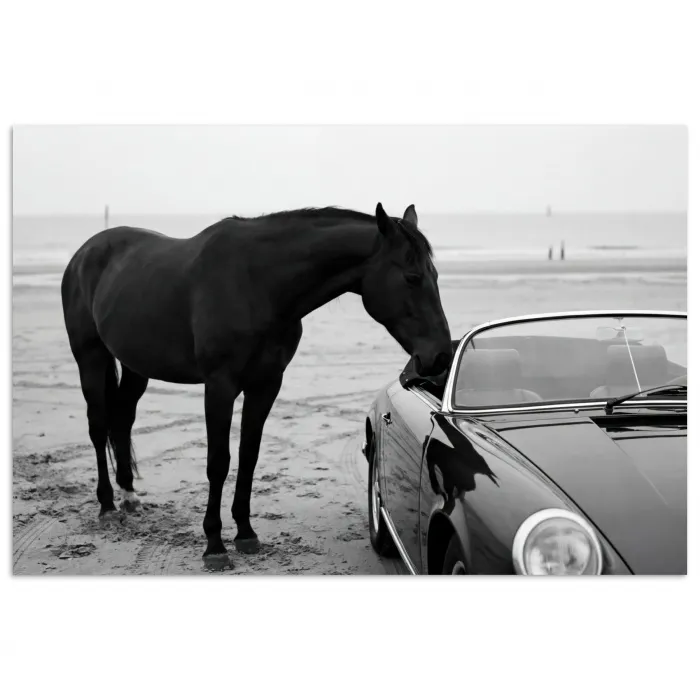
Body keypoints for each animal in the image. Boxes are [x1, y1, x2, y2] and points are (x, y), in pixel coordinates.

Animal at [61, 202, 452, 569]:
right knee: (98, 425)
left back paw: (128, 495)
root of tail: (84, 253)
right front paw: (214, 546)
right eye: (412, 277)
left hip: (135, 366)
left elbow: (249, 455)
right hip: (90, 358)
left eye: (435, 274)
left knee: (122, 418)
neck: (257, 284)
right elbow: (219, 461)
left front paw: (245, 534)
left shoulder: (265, 385)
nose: (441, 356)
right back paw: (107, 506)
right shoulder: (219, 386)